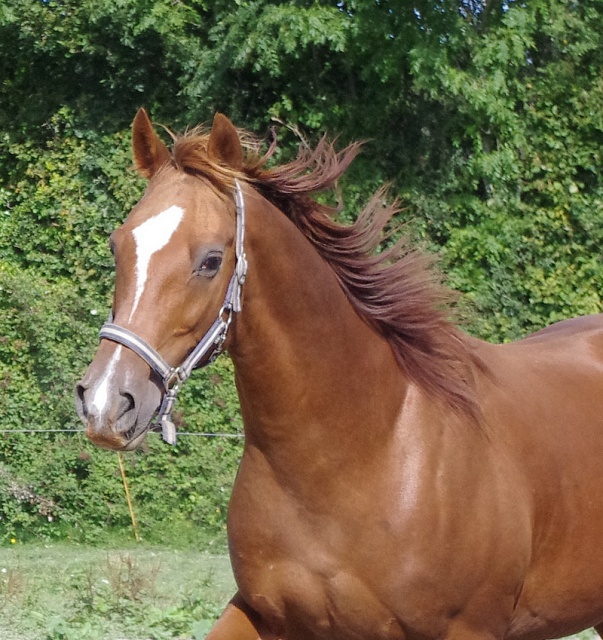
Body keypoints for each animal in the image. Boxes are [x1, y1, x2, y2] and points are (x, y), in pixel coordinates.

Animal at [74, 110, 603, 640]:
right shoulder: (262, 612)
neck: (358, 452)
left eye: (210, 260)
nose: (106, 403)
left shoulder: (469, 629)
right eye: (118, 245)